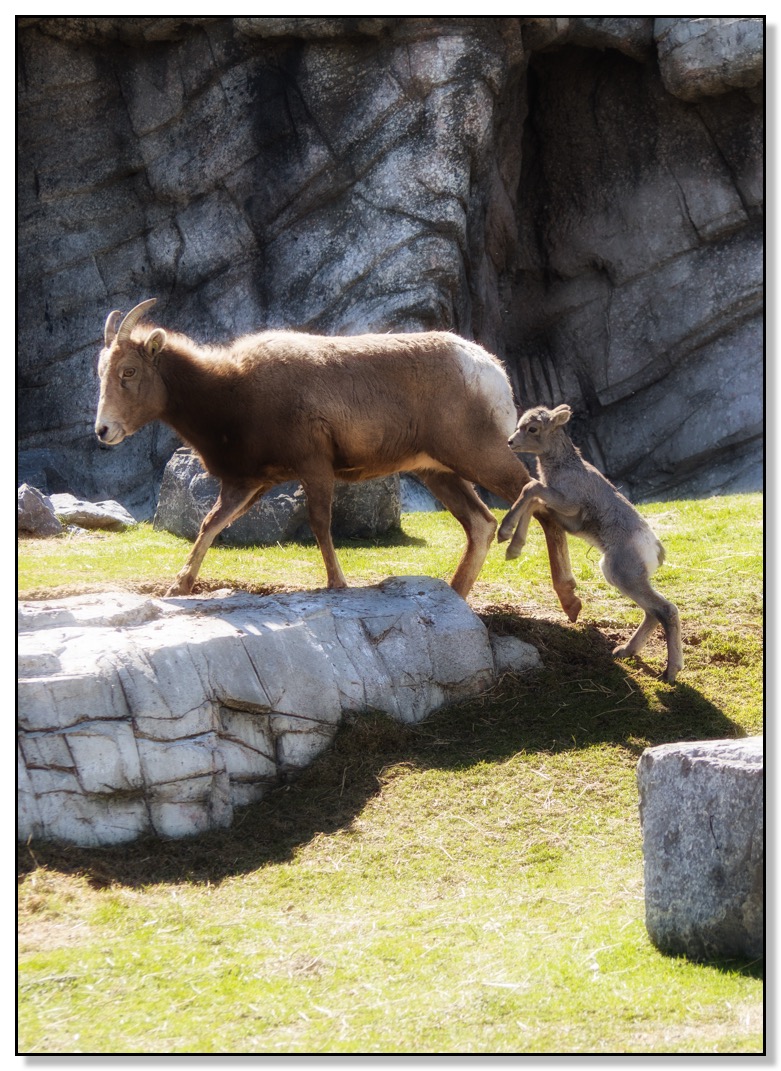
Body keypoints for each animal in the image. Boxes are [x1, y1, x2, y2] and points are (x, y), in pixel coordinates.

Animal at [94, 297, 578, 616]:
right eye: (103, 371)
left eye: (129, 372)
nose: (103, 431)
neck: (234, 391)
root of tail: (489, 370)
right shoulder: (247, 485)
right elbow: (209, 526)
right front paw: (179, 587)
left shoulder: (314, 468)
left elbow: (320, 525)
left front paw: (337, 584)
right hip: (438, 472)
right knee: (481, 523)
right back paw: (456, 596)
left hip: (477, 455)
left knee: (535, 499)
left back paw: (569, 600)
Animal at [497, 404, 681, 681]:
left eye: (533, 428)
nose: (510, 442)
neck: (565, 470)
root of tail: (655, 550)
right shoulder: (560, 513)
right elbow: (534, 501)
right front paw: (512, 548)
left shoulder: (568, 505)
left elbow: (532, 488)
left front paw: (504, 534)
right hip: (618, 577)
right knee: (652, 612)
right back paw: (623, 651)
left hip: (624, 576)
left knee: (667, 610)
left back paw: (669, 673)